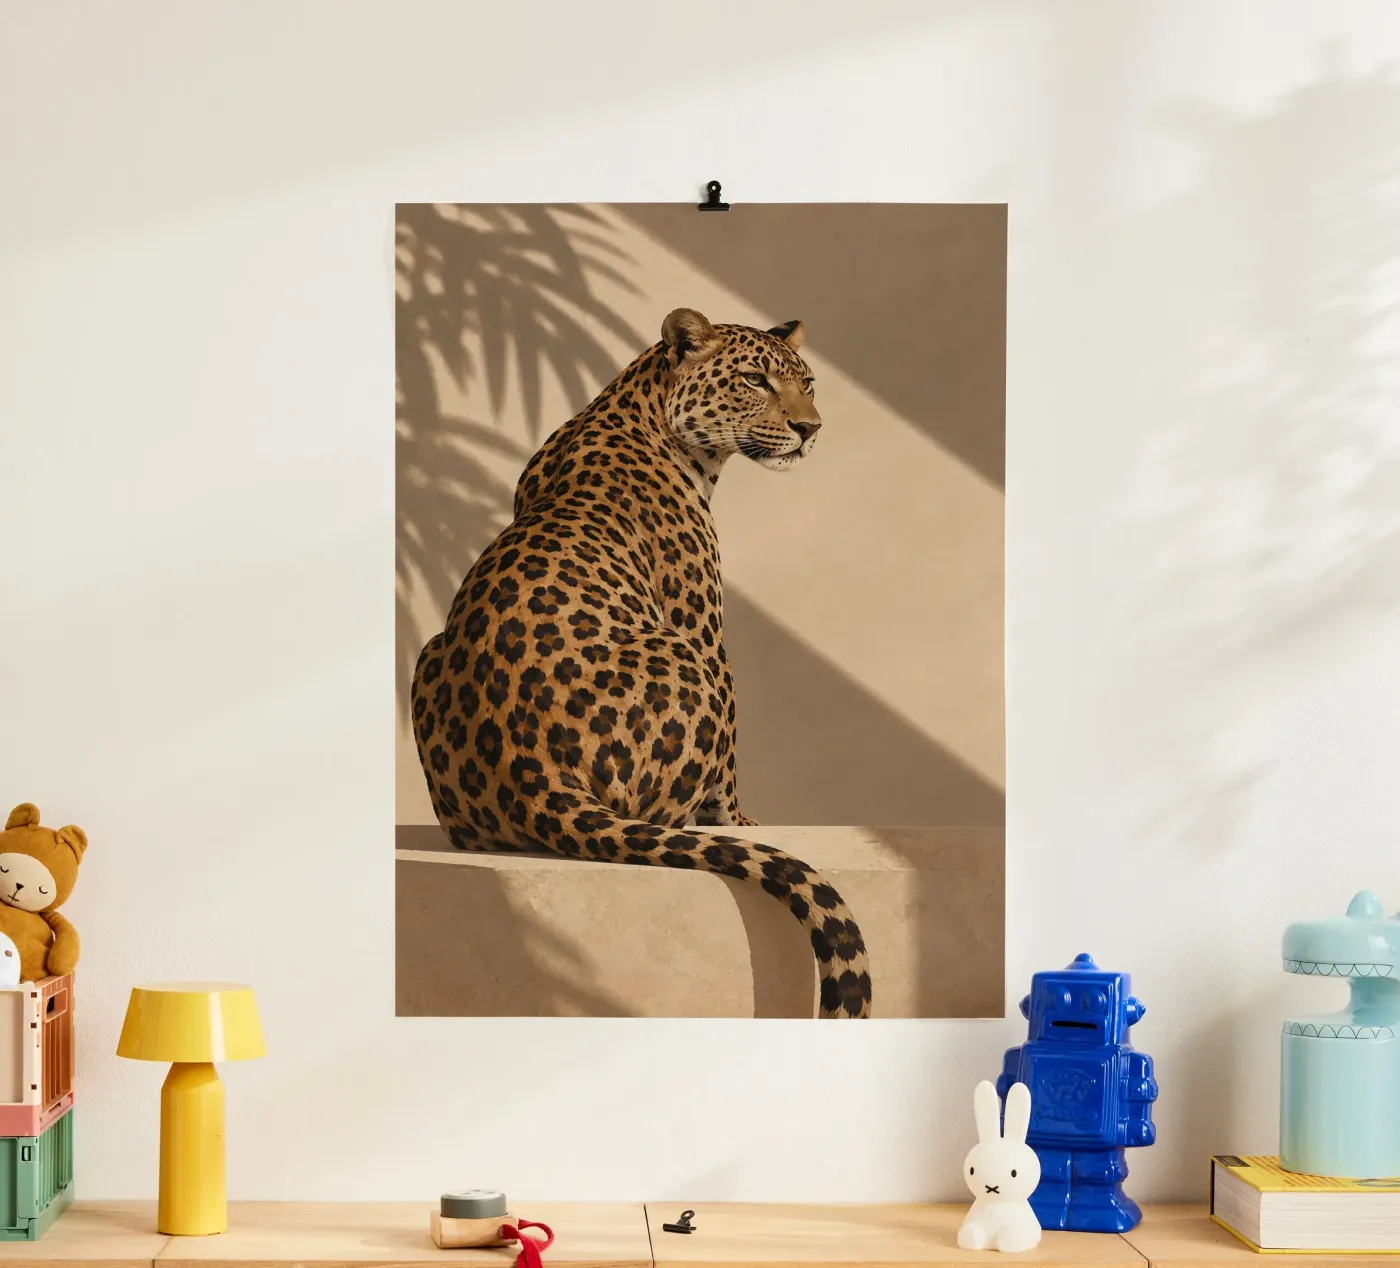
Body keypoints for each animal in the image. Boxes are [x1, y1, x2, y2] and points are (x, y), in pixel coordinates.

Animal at [410, 307, 871, 1018]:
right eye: (754, 379)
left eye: (809, 384)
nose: (810, 429)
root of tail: (536, 781)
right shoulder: (700, 624)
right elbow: (729, 763)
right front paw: (740, 821)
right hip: (682, 659)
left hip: (429, 654)